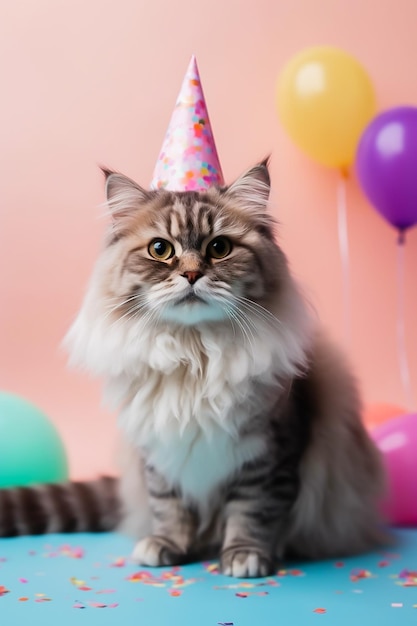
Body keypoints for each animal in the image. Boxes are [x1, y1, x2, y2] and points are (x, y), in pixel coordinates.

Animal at [0, 161, 386, 576]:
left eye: (219, 248)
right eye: (160, 250)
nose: (190, 275)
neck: (193, 355)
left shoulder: (269, 454)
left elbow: (253, 511)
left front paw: (246, 555)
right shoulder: (159, 453)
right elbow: (169, 508)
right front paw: (168, 545)